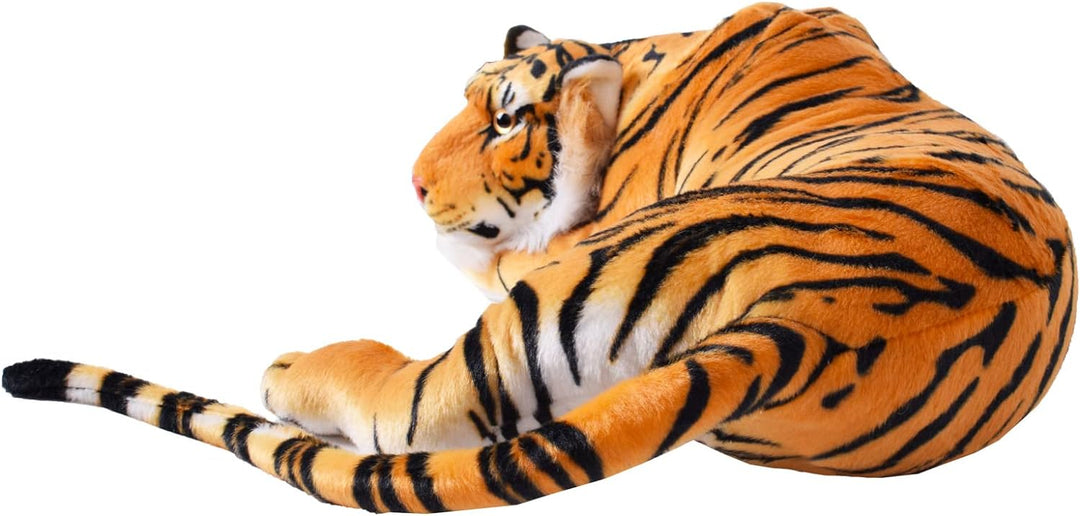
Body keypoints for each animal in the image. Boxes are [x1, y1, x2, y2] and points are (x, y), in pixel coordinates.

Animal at [3, 3, 1074, 512]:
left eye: (506, 119)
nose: (411, 184)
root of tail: (813, 318)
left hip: (514, 336)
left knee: (403, 407)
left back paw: (295, 364)